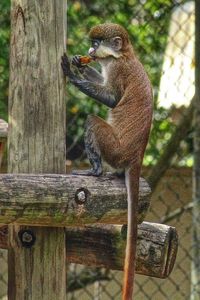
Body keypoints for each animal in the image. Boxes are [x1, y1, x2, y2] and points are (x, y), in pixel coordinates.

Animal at [61, 23, 152, 300]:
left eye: (97, 42)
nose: (90, 50)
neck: (123, 55)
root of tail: (136, 158)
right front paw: (79, 63)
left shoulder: (118, 70)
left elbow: (112, 98)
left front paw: (72, 73)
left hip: (114, 149)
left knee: (92, 121)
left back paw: (96, 171)